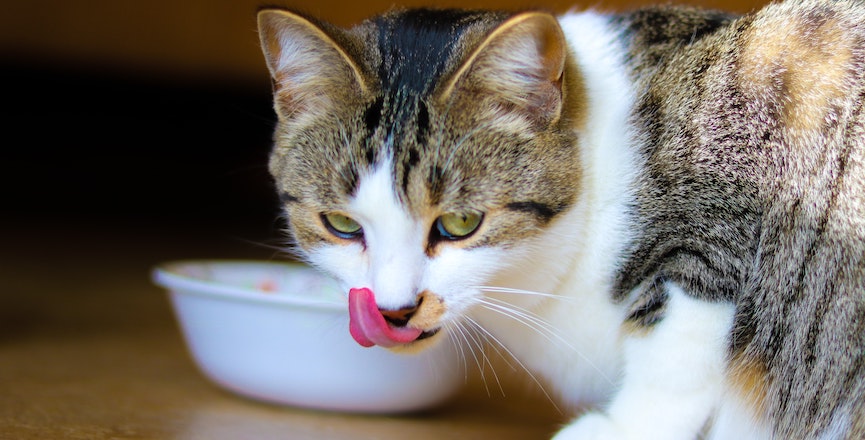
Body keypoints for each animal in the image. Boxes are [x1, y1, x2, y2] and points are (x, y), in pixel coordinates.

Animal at [256, 0, 864, 436]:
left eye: (460, 223)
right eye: (341, 225)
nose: (394, 310)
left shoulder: (730, 187)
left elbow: (676, 351)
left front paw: (620, 428)